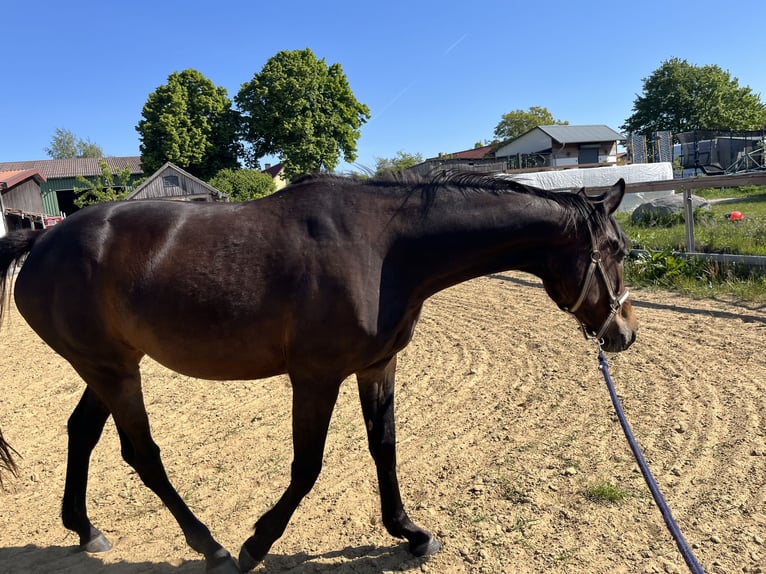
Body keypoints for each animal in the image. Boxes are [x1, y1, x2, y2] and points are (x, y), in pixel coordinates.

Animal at [0, 172, 637, 573]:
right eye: (616, 251)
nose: (624, 333)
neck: (384, 249)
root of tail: (42, 240)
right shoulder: (315, 378)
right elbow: (307, 467)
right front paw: (256, 544)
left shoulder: (376, 366)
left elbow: (384, 447)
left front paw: (411, 533)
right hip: (113, 370)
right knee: (143, 454)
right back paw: (212, 548)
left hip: (108, 367)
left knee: (82, 433)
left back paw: (85, 529)